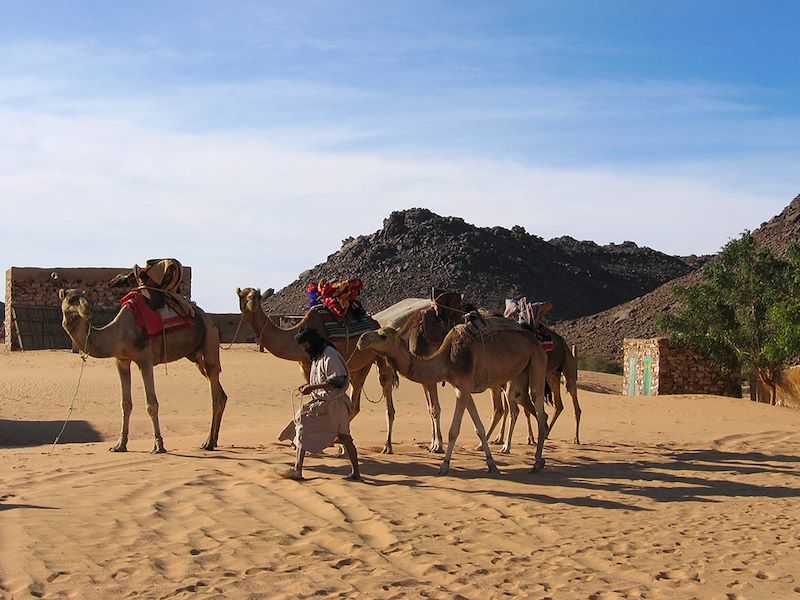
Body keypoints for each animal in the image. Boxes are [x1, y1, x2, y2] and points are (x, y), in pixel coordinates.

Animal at [57, 288, 227, 452]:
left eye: (88, 299)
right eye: (70, 299)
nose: (88, 309)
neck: (118, 334)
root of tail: (207, 318)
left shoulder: (145, 359)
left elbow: (151, 405)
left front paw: (159, 446)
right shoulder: (121, 360)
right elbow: (125, 404)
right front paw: (120, 446)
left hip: (210, 337)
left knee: (215, 391)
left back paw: (208, 442)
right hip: (195, 356)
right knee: (220, 392)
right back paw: (214, 440)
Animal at [236, 288, 400, 452]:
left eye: (256, 296)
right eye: (242, 296)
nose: (252, 303)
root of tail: (377, 324)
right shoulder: (304, 366)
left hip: (380, 356)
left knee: (383, 389)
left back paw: (384, 446)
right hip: (360, 366)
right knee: (355, 402)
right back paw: (341, 443)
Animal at [358, 316, 552, 476]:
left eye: (383, 336)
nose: (361, 340)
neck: (446, 360)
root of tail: (536, 340)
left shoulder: (463, 387)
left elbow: (453, 431)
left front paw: (443, 465)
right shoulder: (463, 388)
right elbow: (479, 428)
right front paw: (491, 465)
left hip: (537, 363)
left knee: (540, 411)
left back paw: (536, 462)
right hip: (520, 375)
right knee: (527, 409)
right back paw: (539, 459)